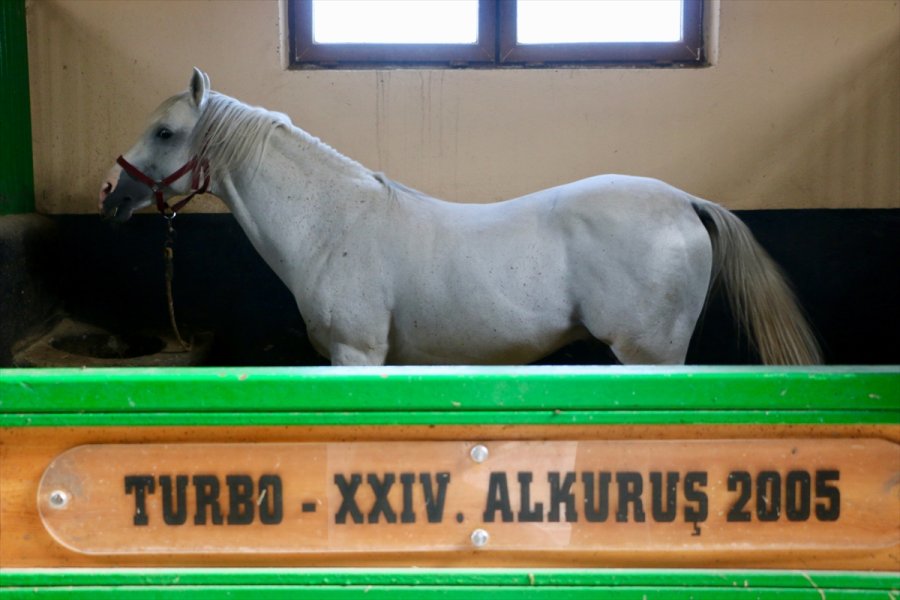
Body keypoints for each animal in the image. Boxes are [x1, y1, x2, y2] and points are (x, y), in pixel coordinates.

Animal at [100, 67, 824, 364]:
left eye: (165, 132)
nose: (110, 195)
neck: (331, 224)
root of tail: (683, 201)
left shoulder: (356, 356)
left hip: (651, 357)